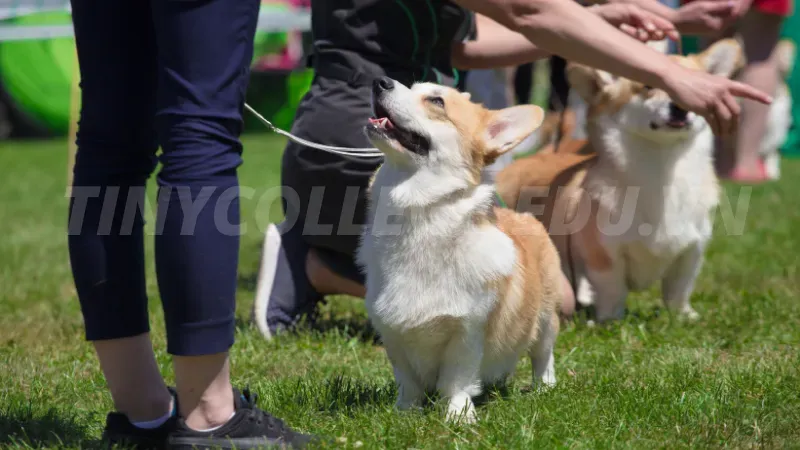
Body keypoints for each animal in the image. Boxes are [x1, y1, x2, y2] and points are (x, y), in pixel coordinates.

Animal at [356, 78, 568, 426]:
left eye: (437, 101)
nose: (380, 81)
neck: (419, 218)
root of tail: (523, 216)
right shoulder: (392, 331)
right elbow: (408, 382)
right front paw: (405, 412)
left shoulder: (467, 332)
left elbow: (456, 381)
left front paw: (458, 416)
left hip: (546, 318)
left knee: (543, 354)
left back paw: (544, 388)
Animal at [496, 37, 740, 320]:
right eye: (648, 86)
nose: (680, 107)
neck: (662, 165)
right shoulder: (604, 255)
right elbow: (613, 290)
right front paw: (610, 320)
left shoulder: (692, 250)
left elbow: (678, 289)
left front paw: (684, 317)